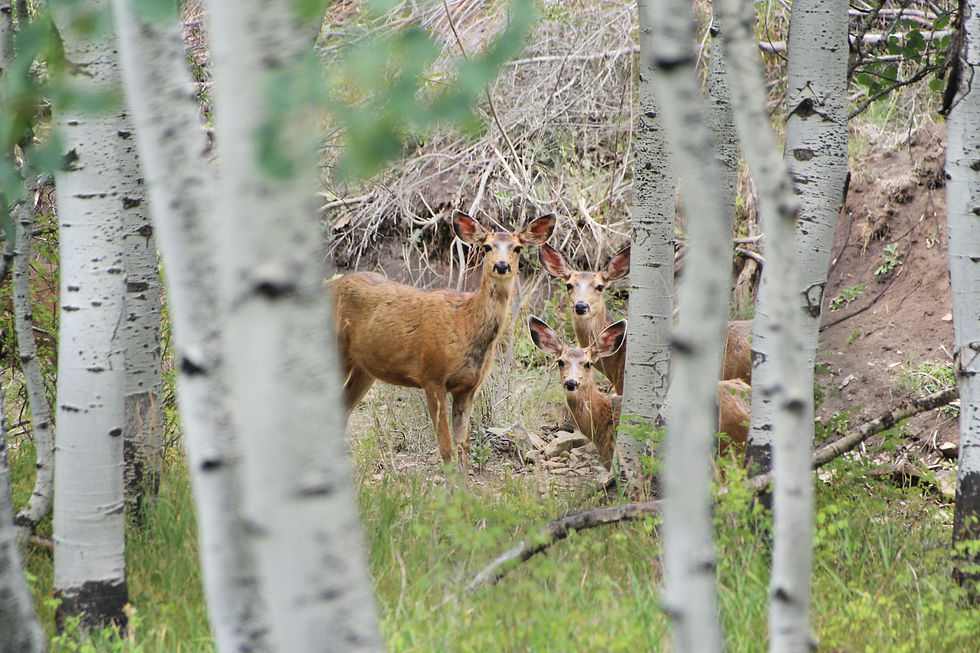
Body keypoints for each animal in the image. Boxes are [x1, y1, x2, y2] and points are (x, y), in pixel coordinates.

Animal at [332, 210, 556, 472]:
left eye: (518, 247)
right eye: (487, 246)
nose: (502, 266)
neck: (466, 325)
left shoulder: (469, 387)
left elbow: (463, 446)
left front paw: (465, 483)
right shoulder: (432, 376)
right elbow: (446, 448)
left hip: (365, 369)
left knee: (342, 409)